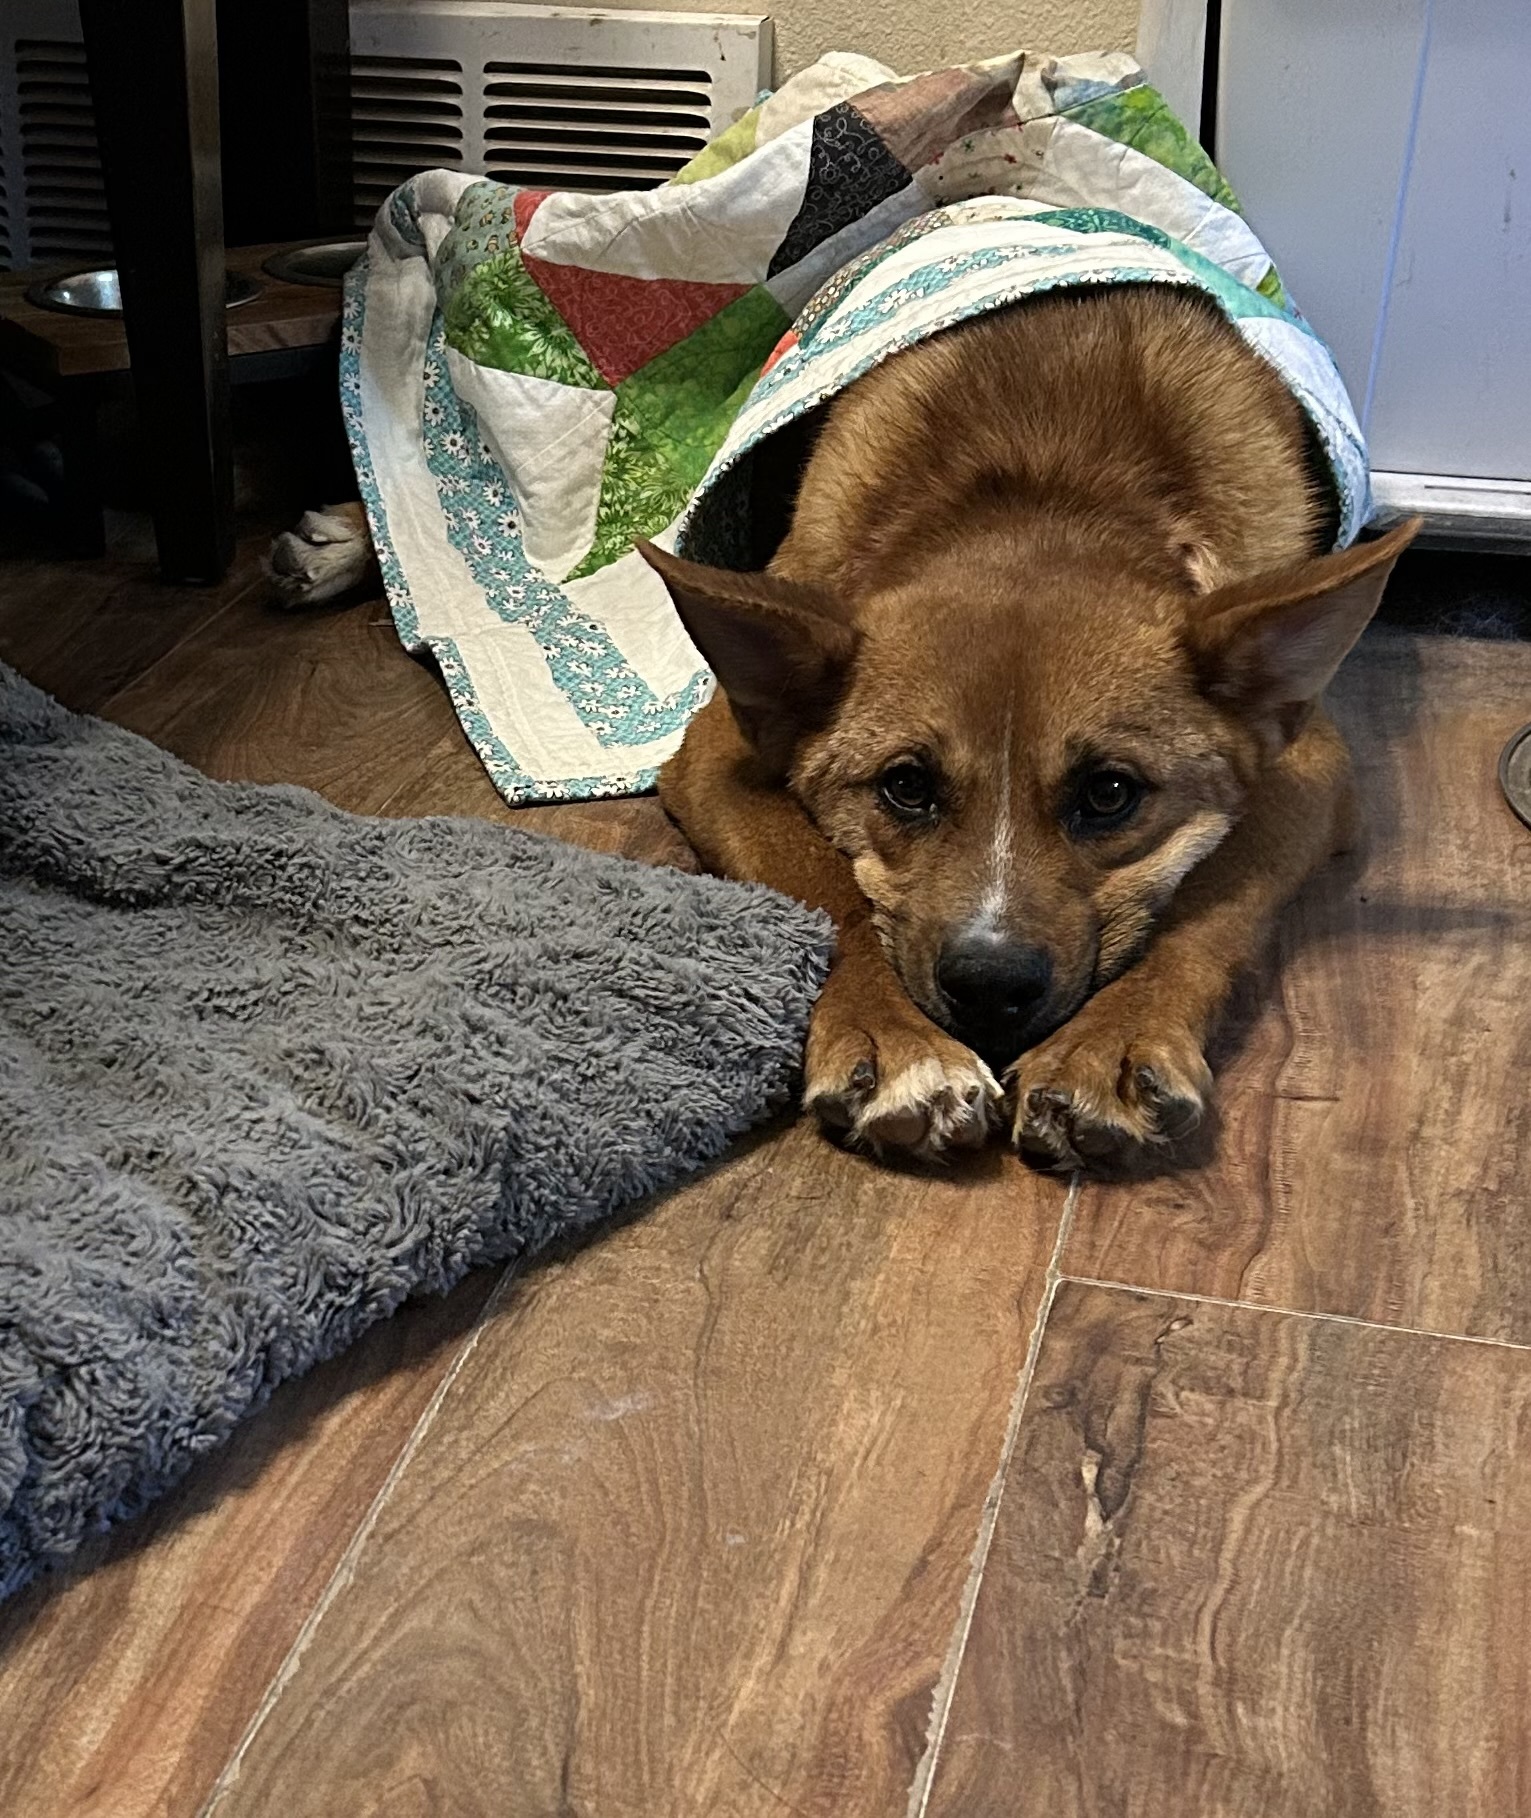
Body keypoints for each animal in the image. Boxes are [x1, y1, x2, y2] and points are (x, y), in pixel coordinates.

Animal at [640, 283, 1410, 1163]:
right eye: (905, 786)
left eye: (1109, 793)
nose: (989, 986)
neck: (1043, 495)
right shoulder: (716, 753)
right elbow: (826, 889)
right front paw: (896, 1042)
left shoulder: (1310, 769)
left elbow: (1212, 902)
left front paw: (1112, 1040)